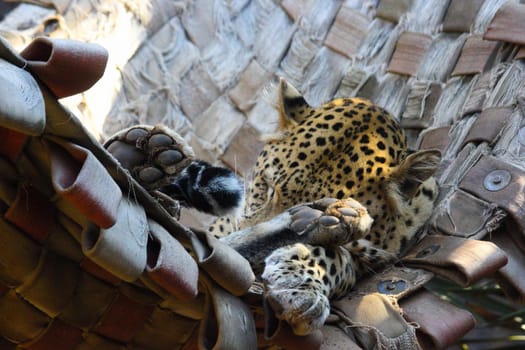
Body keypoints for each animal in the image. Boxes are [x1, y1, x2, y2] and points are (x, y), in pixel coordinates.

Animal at [104, 77, 440, 336]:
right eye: (266, 186)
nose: (248, 272)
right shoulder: (228, 225)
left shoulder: (375, 258)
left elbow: (334, 258)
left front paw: (304, 280)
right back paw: (143, 155)